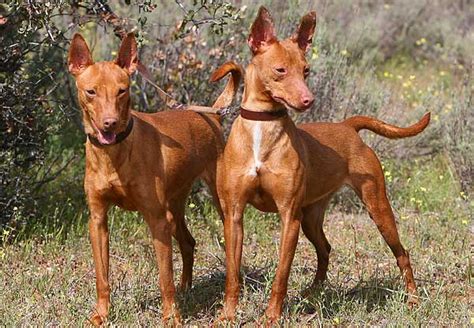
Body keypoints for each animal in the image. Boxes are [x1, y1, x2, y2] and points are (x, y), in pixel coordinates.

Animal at [67, 33, 241, 326]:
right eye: (91, 92)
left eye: (122, 90)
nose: (110, 123)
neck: (115, 155)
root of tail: (212, 115)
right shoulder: (98, 220)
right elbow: (102, 278)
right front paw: (101, 314)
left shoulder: (157, 221)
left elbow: (164, 279)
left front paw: (171, 316)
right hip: (175, 205)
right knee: (188, 242)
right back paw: (186, 288)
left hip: (218, 204)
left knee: (229, 248)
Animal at [218, 7, 430, 322]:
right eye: (280, 70)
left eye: (306, 70)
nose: (309, 100)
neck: (262, 129)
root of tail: (347, 126)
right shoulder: (233, 215)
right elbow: (233, 274)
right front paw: (227, 315)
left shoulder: (289, 217)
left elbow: (281, 276)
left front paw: (271, 317)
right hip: (311, 217)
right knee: (325, 248)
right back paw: (312, 293)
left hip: (377, 208)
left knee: (402, 253)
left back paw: (413, 300)